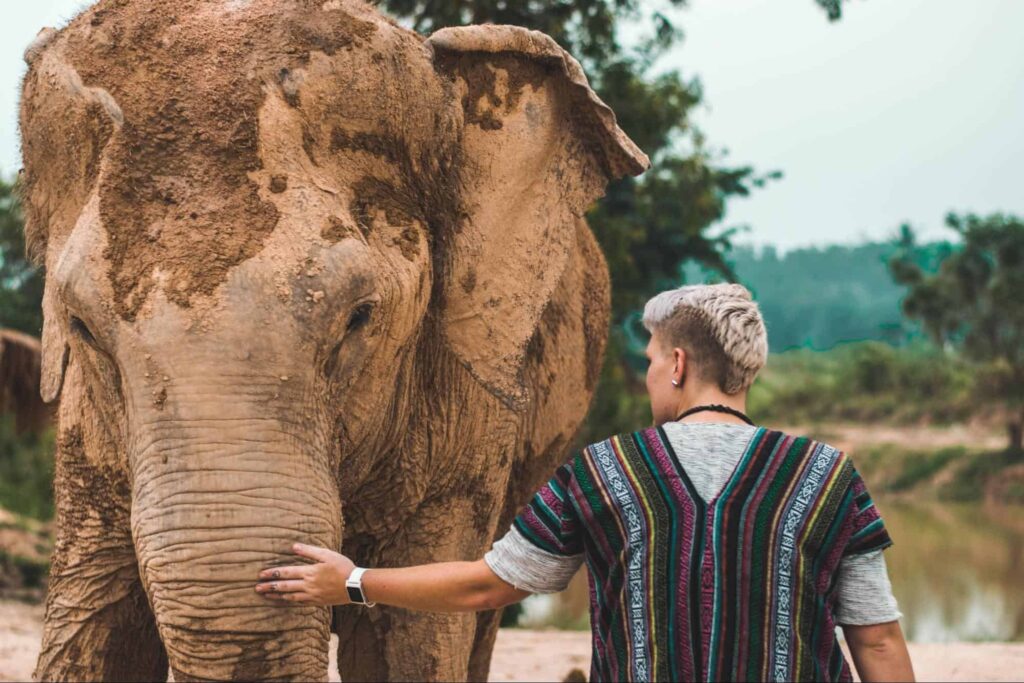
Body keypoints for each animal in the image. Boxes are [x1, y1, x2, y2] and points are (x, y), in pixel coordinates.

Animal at [19, 2, 647, 679]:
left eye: (359, 318)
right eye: (81, 326)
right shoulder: (86, 429)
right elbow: (94, 625)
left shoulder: (467, 427)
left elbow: (413, 639)